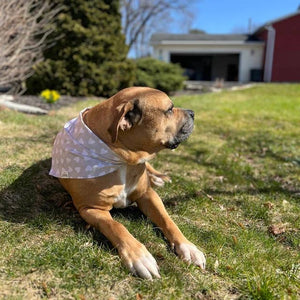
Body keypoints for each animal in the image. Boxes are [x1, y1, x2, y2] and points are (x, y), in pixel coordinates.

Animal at [50, 86, 206, 278]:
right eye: (169, 109)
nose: (193, 113)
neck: (123, 158)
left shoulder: (147, 194)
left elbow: (167, 220)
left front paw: (188, 247)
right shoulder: (91, 208)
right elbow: (115, 225)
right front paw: (139, 256)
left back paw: (158, 176)